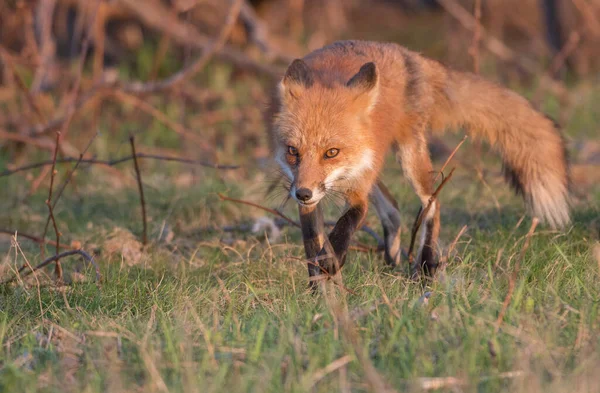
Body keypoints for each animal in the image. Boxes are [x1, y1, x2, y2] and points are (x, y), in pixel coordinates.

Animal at [266, 40, 568, 282]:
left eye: (331, 152)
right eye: (293, 151)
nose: (303, 193)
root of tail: (408, 54)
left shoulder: (356, 190)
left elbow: (349, 221)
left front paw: (331, 259)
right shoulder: (312, 198)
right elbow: (311, 246)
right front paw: (317, 289)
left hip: (409, 158)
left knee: (432, 202)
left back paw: (426, 264)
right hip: (374, 165)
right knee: (394, 209)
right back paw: (393, 255)